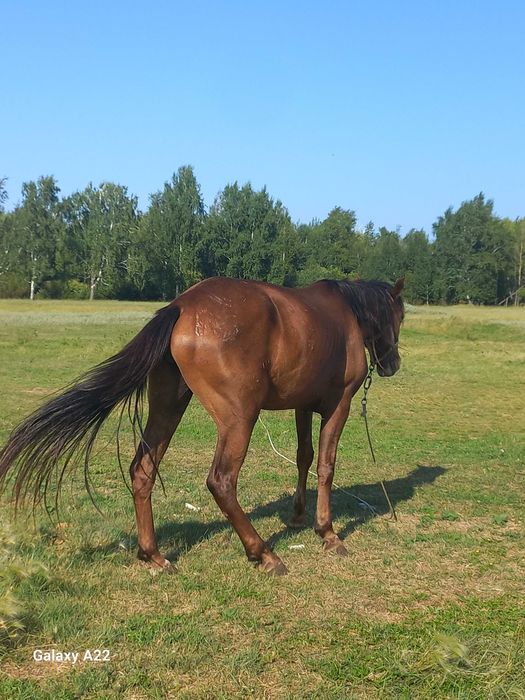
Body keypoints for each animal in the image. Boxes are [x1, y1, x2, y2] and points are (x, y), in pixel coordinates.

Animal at [0, 276, 404, 575]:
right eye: (399, 316)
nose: (392, 364)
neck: (344, 315)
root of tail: (181, 306)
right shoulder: (340, 406)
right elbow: (325, 466)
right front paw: (328, 533)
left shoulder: (303, 406)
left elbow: (303, 457)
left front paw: (297, 516)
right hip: (239, 419)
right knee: (221, 482)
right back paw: (263, 553)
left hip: (168, 407)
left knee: (142, 470)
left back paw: (153, 554)